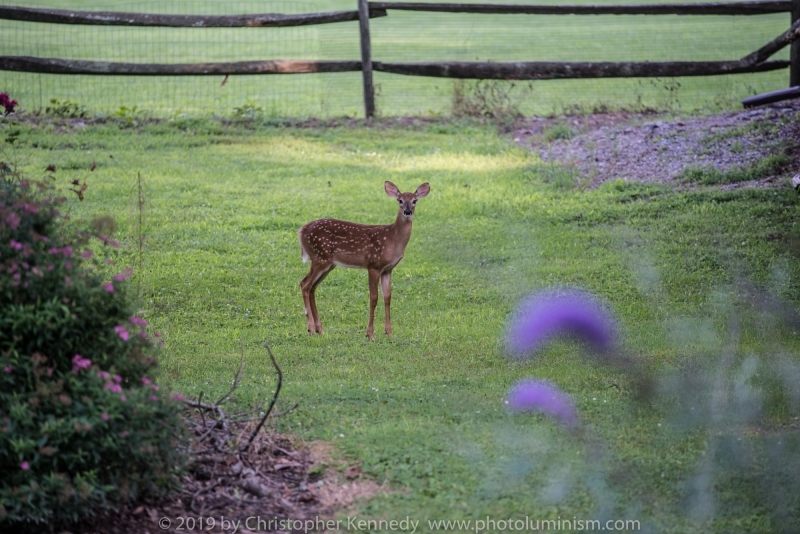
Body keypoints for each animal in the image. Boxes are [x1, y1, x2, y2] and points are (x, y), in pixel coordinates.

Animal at [298, 182, 428, 342]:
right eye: (400, 200)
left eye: (415, 200)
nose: (408, 211)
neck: (392, 239)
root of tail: (301, 231)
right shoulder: (373, 265)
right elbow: (373, 298)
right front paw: (370, 334)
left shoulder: (388, 269)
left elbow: (387, 297)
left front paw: (389, 333)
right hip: (320, 258)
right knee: (304, 284)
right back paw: (310, 328)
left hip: (328, 264)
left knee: (312, 287)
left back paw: (320, 330)